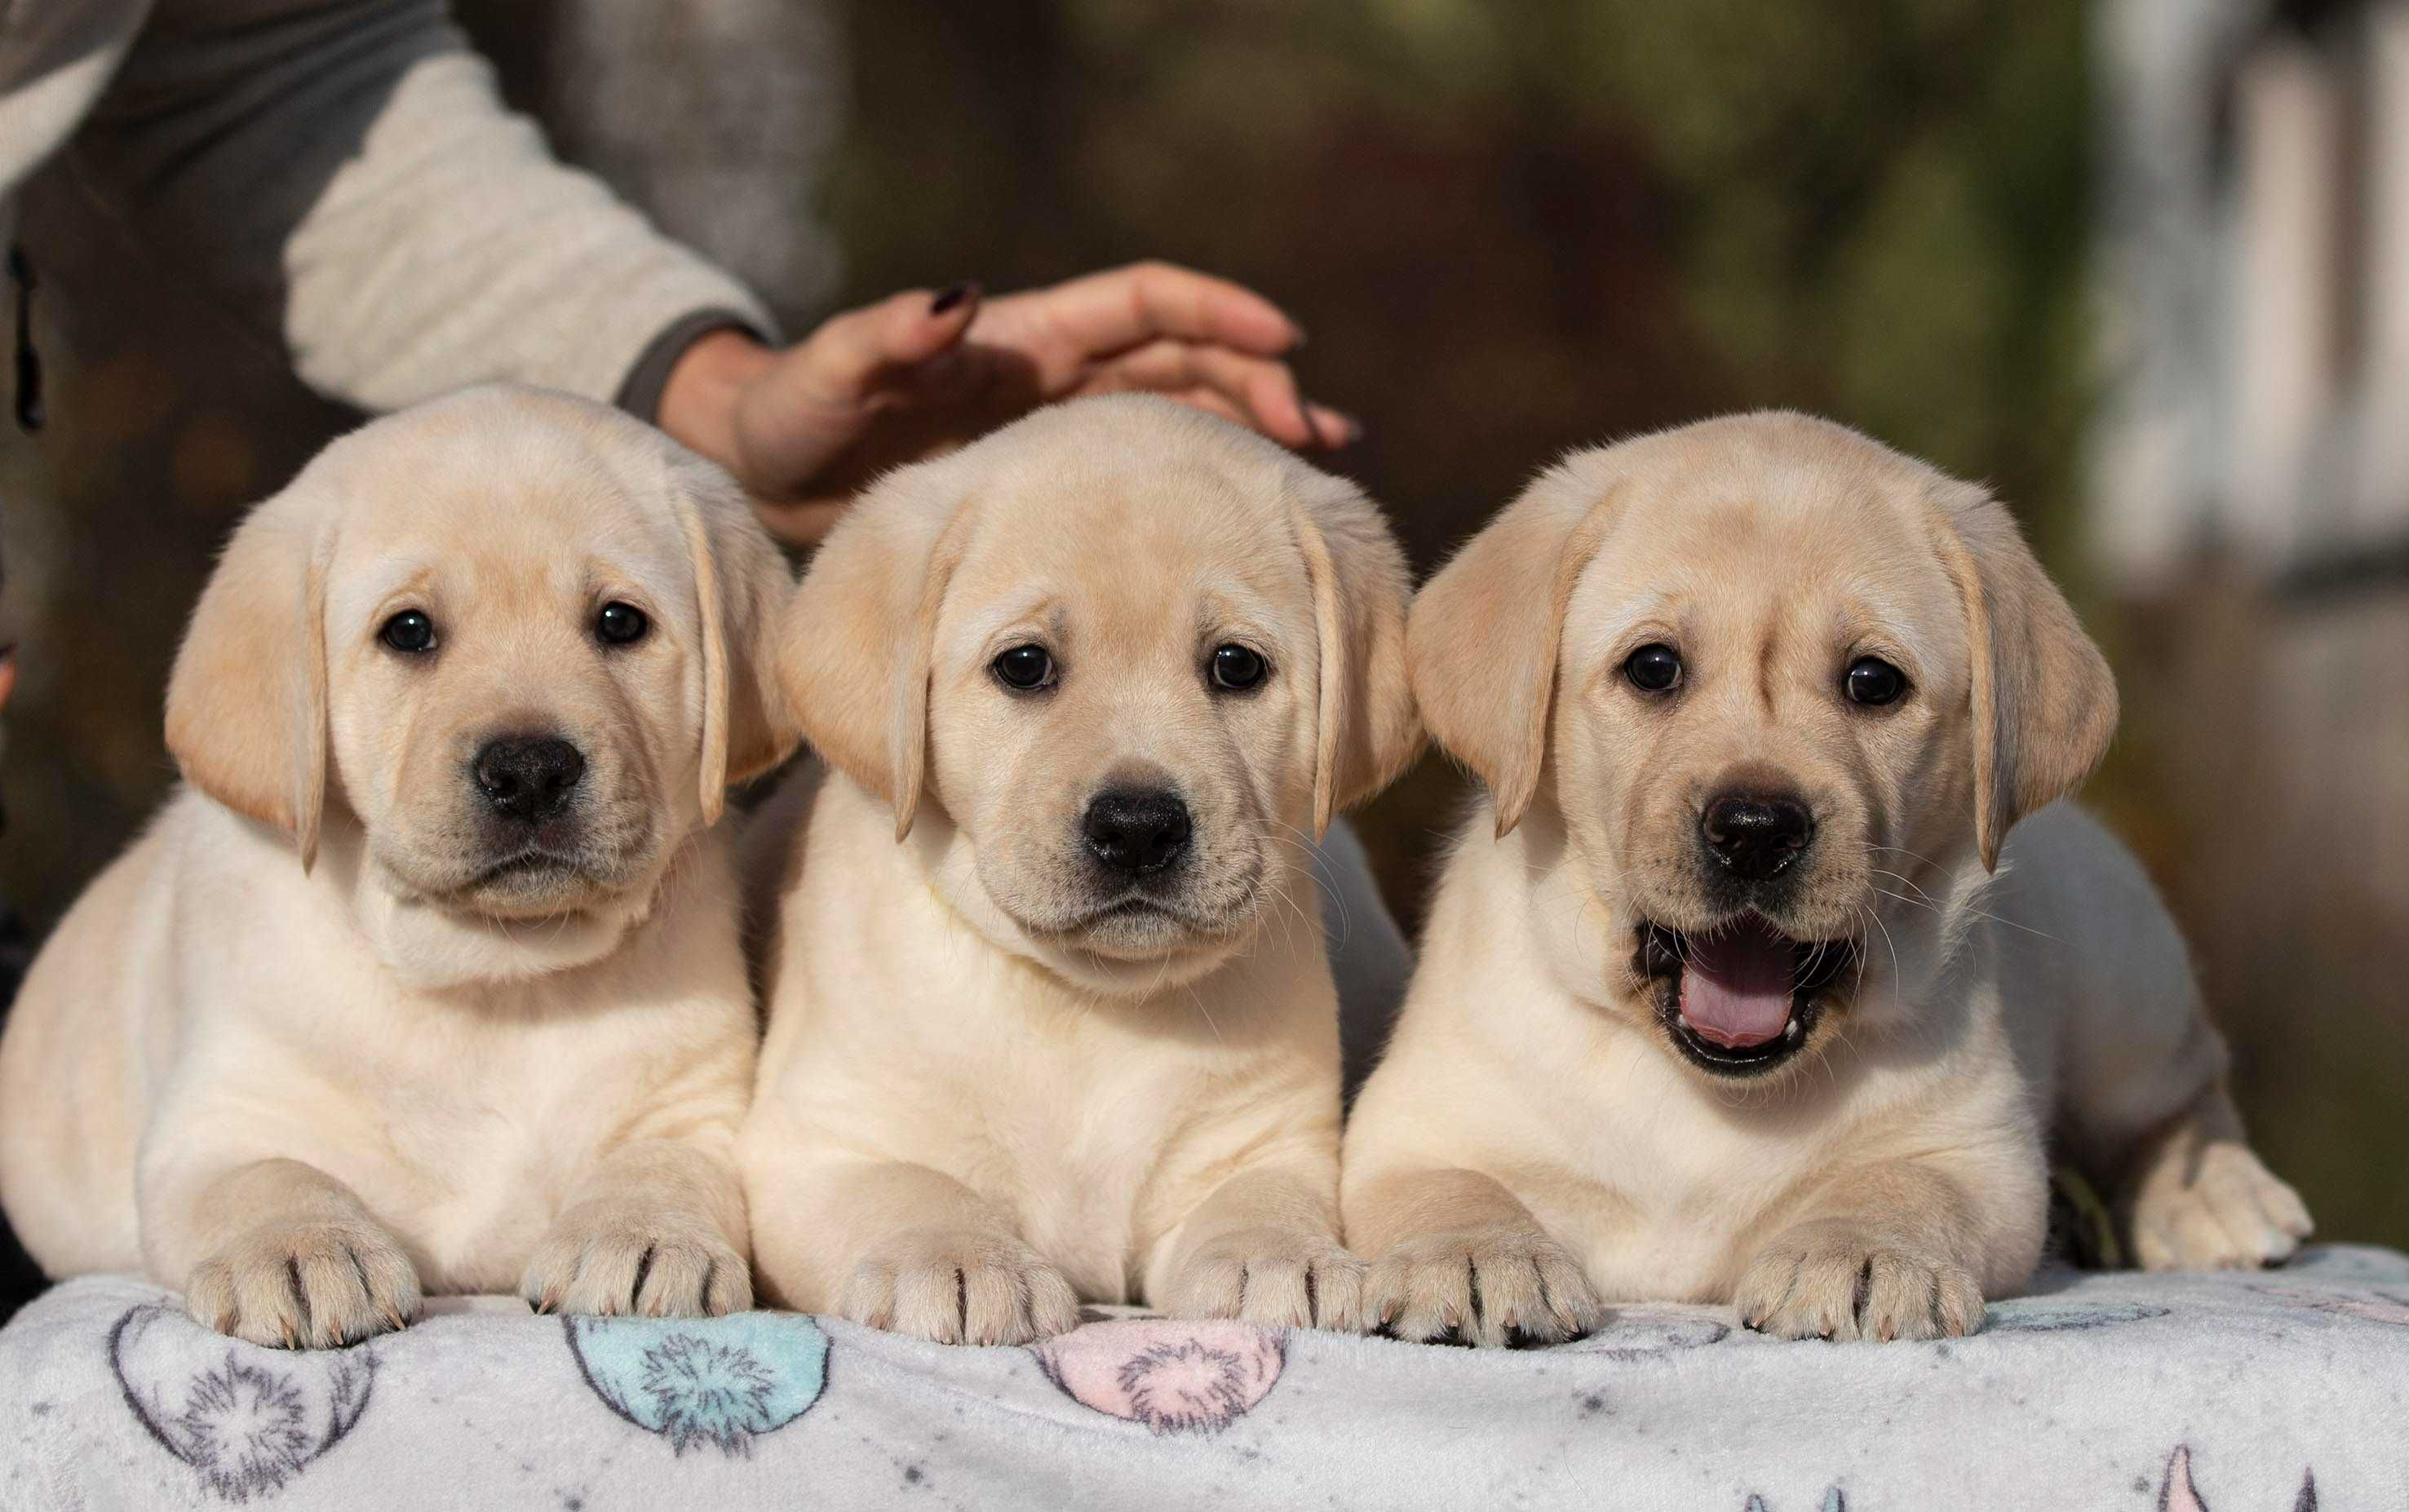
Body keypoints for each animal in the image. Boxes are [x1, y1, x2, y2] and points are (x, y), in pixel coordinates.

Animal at [732, 392, 1406, 1348]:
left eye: (1236, 666)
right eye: (1024, 666)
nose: (1138, 829)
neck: (1088, 1004)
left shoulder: (1256, 1142)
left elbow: (1256, 1201)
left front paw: (1283, 1257)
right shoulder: (817, 1145)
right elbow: (907, 1189)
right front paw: (961, 1260)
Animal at [1348, 413, 2303, 1348]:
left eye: (1872, 682)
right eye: (1652, 668)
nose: (1755, 832)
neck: (1704, 1093)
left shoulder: (1975, 1154)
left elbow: (1902, 1186)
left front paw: (1860, 1254)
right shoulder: (1411, 1125)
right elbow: (1450, 1184)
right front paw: (1475, 1256)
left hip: (2123, 989)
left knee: (2182, 1098)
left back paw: (2219, 1197)